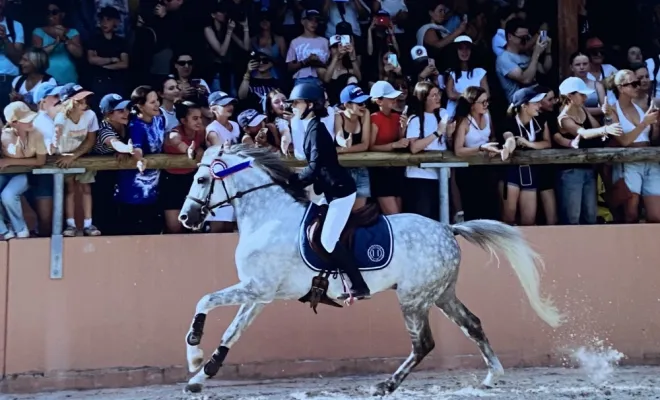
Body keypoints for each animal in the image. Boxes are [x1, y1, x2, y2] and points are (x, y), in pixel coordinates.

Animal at [178, 145, 564, 396]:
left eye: (201, 179)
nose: (186, 218)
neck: (268, 217)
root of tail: (446, 228)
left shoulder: (257, 288)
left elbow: (204, 300)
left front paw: (194, 352)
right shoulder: (259, 294)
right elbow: (232, 333)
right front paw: (201, 376)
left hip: (413, 299)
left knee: (424, 343)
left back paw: (386, 385)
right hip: (441, 294)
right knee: (473, 324)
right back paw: (492, 376)